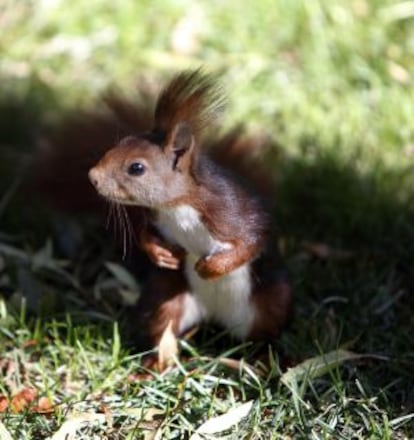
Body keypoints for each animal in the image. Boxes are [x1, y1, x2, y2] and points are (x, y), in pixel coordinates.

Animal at [87, 70, 292, 348]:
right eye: (122, 142)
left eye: (136, 168)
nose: (92, 177)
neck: (178, 207)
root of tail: (216, 316)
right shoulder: (157, 217)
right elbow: (146, 234)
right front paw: (161, 255)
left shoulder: (231, 213)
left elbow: (252, 241)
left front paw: (211, 267)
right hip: (168, 298)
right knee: (164, 328)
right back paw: (156, 358)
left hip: (272, 302)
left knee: (263, 336)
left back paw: (262, 356)